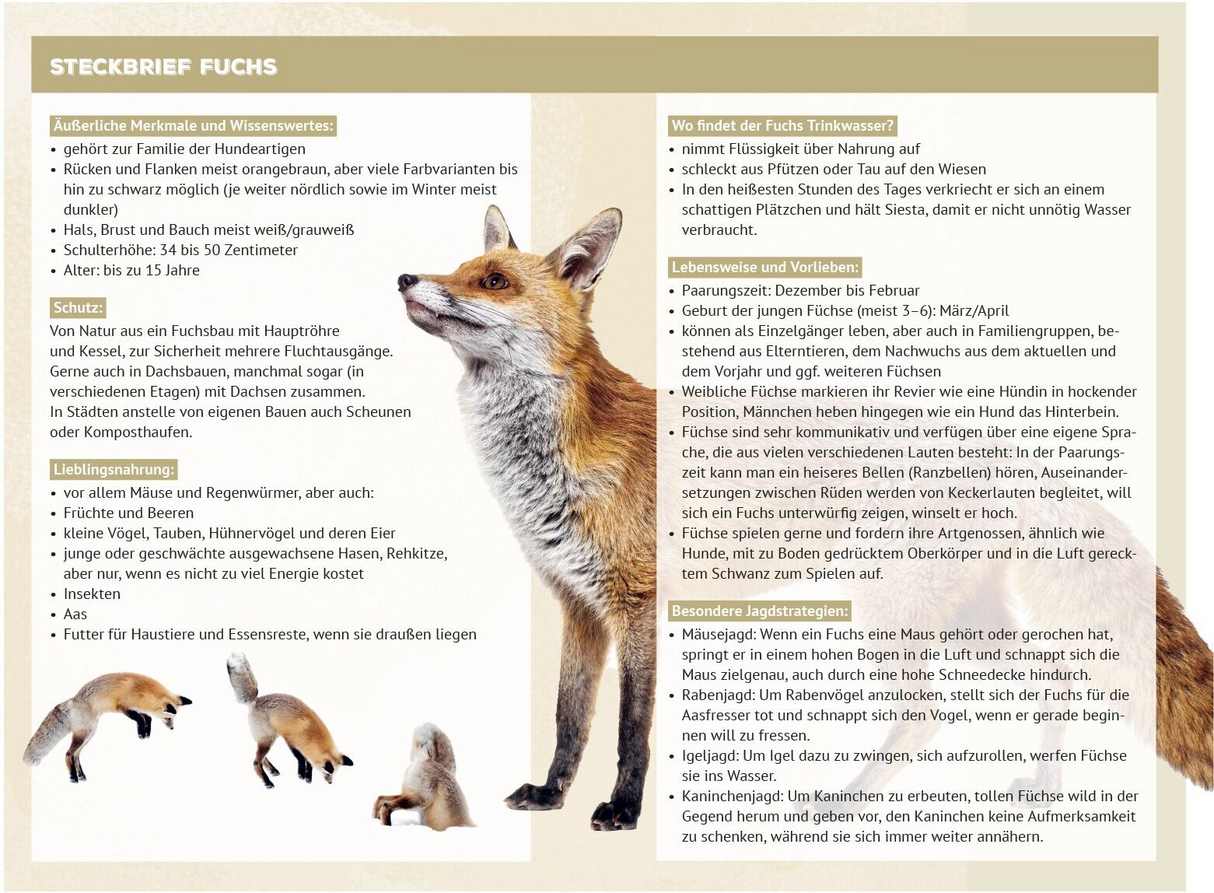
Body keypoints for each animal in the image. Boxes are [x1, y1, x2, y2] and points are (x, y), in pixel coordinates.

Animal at [23, 672, 192, 782]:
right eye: (168, 718)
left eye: (173, 720)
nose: (172, 729)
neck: (140, 690)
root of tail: (73, 700)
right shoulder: (123, 707)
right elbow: (139, 718)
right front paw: (142, 731)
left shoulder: (135, 707)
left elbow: (147, 717)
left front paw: (145, 732)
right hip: (84, 735)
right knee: (69, 754)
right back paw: (73, 778)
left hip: (90, 734)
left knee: (76, 755)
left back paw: (81, 776)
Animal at [226, 652, 353, 788]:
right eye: (327, 772)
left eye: (334, 773)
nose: (330, 783)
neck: (311, 732)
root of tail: (256, 700)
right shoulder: (291, 740)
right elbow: (301, 759)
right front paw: (301, 774)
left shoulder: (305, 747)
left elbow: (309, 763)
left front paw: (308, 777)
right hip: (268, 740)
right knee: (256, 762)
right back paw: (267, 782)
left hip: (268, 738)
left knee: (261, 758)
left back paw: (273, 770)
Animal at [397, 205, 1212, 826]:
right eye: (460, 267)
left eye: (492, 281)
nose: (405, 276)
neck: (546, 462)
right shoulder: (578, 605)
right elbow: (572, 720)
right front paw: (551, 794)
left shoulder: (636, 604)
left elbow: (633, 730)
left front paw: (623, 811)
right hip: (964, 618)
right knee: (1054, 674)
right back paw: (1043, 789)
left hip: (893, 614)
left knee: (932, 712)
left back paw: (844, 801)